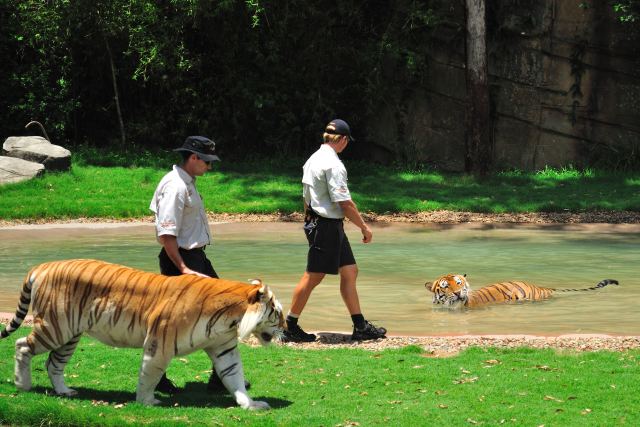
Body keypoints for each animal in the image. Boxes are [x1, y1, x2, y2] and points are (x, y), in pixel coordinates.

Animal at [0, 259, 284, 410]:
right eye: (278, 314)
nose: (287, 329)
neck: (230, 319)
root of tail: (42, 266)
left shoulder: (224, 348)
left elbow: (234, 376)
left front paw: (250, 404)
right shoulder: (160, 342)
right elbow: (151, 373)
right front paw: (147, 400)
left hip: (70, 335)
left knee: (53, 363)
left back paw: (64, 391)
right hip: (54, 327)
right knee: (22, 345)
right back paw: (22, 384)